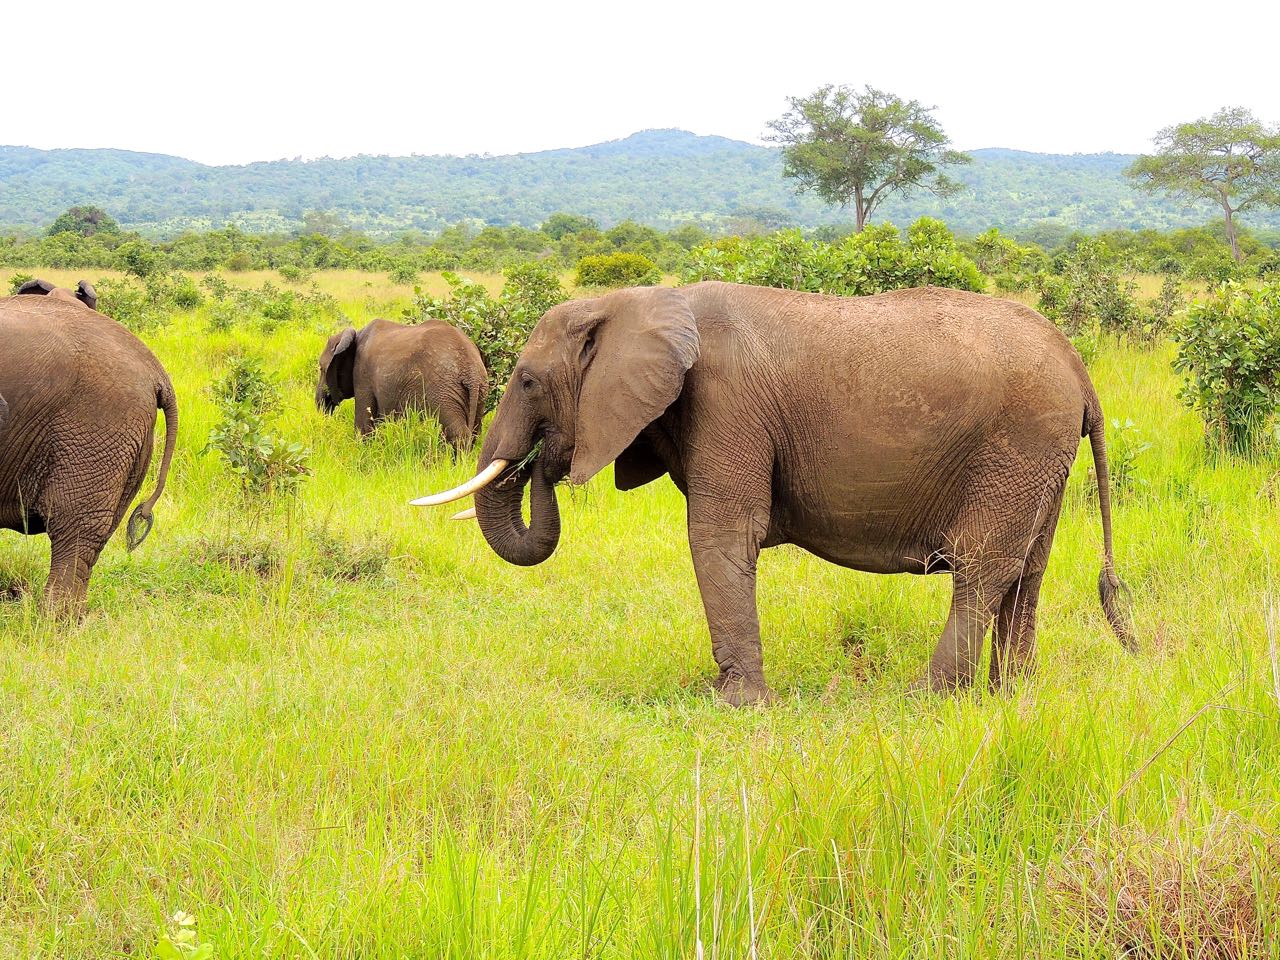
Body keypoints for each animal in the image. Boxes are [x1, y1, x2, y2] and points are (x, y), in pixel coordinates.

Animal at [313, 317, 483, 450]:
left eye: (321, 369)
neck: (355, 335)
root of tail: (471, 371)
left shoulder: (362, 373)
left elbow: (363, 423)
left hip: (442, 390)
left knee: (458, 433)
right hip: (479, 392)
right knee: (474, 431)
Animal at [414, 277, 1136, 706]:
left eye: (528, 381)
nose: (544, 460)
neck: (642, 300)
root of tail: (1078, 366)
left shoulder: (725, 404)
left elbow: (720, 538)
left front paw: (735, 706)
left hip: (1019, 441)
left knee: (984, 568)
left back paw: (928, 699)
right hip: (1040, 454)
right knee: (1028, 569)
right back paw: (1010, 697)